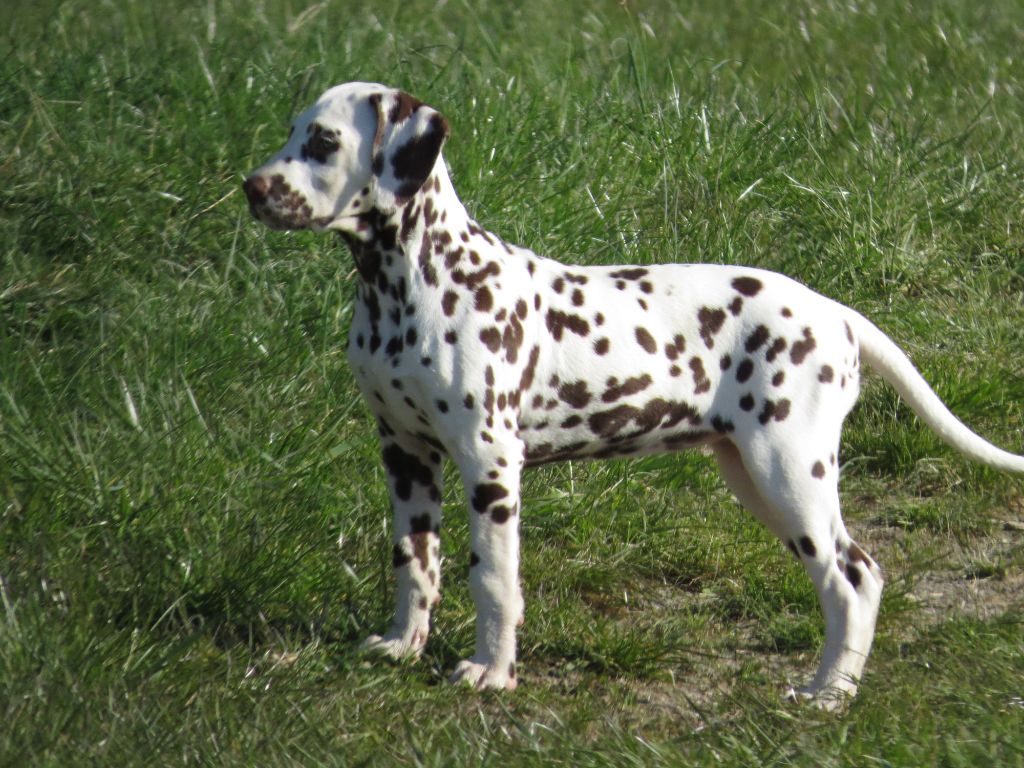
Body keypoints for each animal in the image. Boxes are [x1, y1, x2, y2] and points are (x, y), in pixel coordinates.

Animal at [241, 82, 1024, 708]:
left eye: (323, 141)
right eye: (291, 129)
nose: (251, 186)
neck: (416, 281)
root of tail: (837, 313)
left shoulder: (489, 464)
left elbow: (493, 580)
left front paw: (491, 674)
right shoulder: (405, 455)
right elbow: (415, 563)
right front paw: (404, 647)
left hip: (789, 471)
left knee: (854, 578)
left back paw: (829, 694)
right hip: (753, 479)